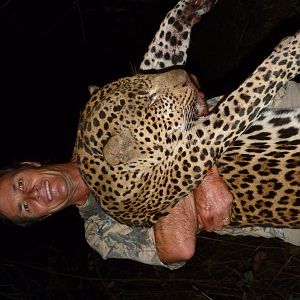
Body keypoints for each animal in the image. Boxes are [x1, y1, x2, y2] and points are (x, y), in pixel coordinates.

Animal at [73, 0, 300, 227]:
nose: (185, 74)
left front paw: (191, 7)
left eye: (140, 78)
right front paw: (292, 51)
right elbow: (245, 96)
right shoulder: (198, 148)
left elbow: (162, 45)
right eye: (150, 99)